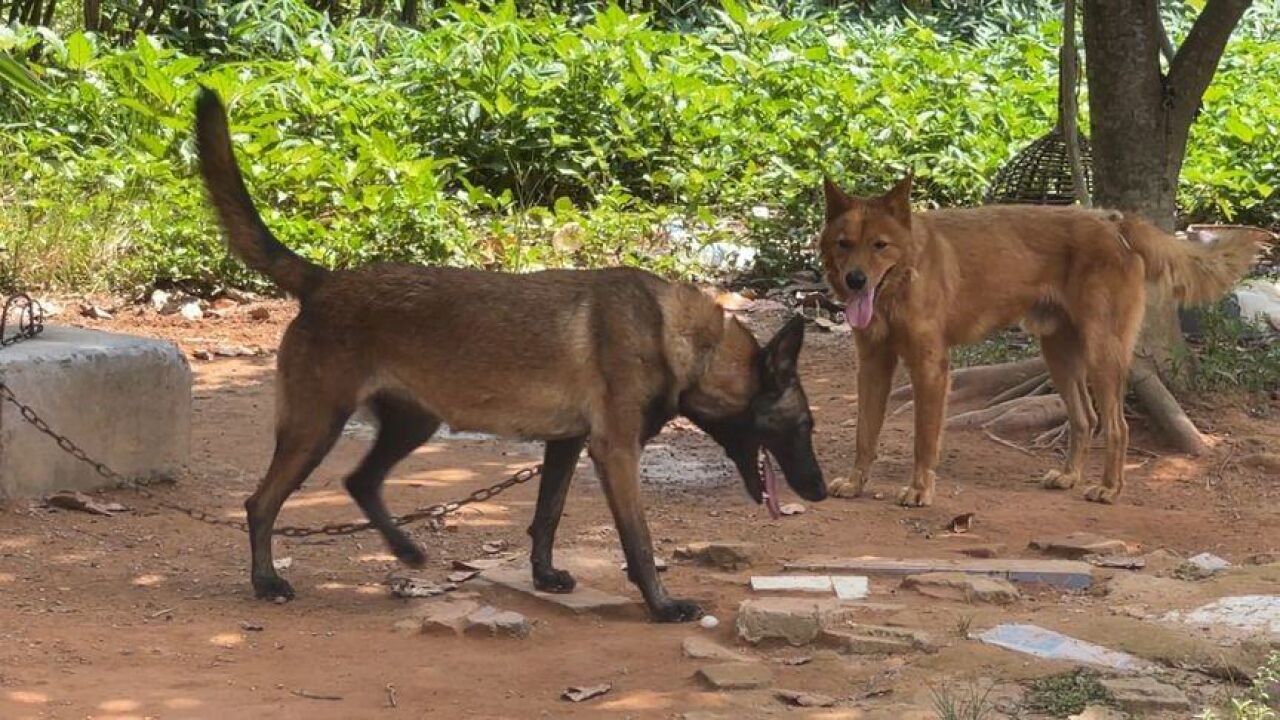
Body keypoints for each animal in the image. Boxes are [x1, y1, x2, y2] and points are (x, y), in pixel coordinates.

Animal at [194, 87, 824, 620]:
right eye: (802, 426)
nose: (820, 492)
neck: (687, 343)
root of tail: (325, 281)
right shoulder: (616, 452)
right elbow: (638, 542)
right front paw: (662, 605)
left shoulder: (567, 446)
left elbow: (546, 517)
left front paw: (544, 576)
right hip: (315, 428)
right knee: (261, 503)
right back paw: (267, 581)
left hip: (411, 423)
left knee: (360, 482)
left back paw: (405, 551)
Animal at [819, 174, 1249, 504]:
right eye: (844, 244)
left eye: (880, 246)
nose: (855, 280)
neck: (904, 279)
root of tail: (1114, 222)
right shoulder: (872, 365)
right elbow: (864, 433)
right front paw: (856, 483)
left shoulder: (930, 368)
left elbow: (923, 441)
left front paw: (920, 490)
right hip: (1058, 355)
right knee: (1085, 419)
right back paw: (1069, 477)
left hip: (1102, 354)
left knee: (1117, 426)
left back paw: (1109, 488)